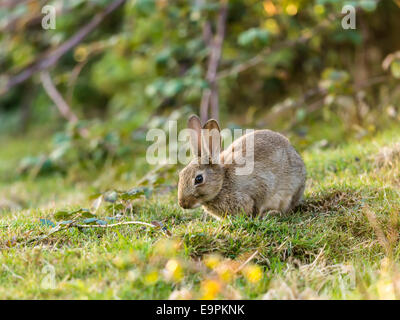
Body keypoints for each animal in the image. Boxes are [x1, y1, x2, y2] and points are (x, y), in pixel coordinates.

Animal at [178, 114, 306, 218]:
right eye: (181, 174)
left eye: (199, 179)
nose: (183, 204)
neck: (223, 181)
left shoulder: (261, 185)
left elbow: (258, 203)